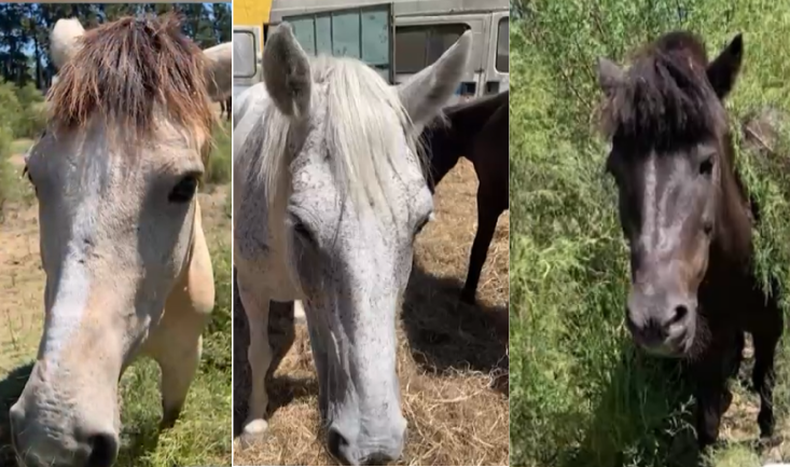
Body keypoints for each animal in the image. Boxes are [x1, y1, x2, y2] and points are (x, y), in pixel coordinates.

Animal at [233, 23, 471, 465]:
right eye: (301, 226)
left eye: (420, 224)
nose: (374, 448)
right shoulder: (251, 288)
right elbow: (258, 353)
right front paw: (255, 422)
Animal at [595, 31, 783, 448]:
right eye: (615, 169)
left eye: (707, 163)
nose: (654, 319)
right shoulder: (704, 346)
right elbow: (708, 419)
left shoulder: (771, 327)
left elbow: (764, 378)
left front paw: (766, 431)